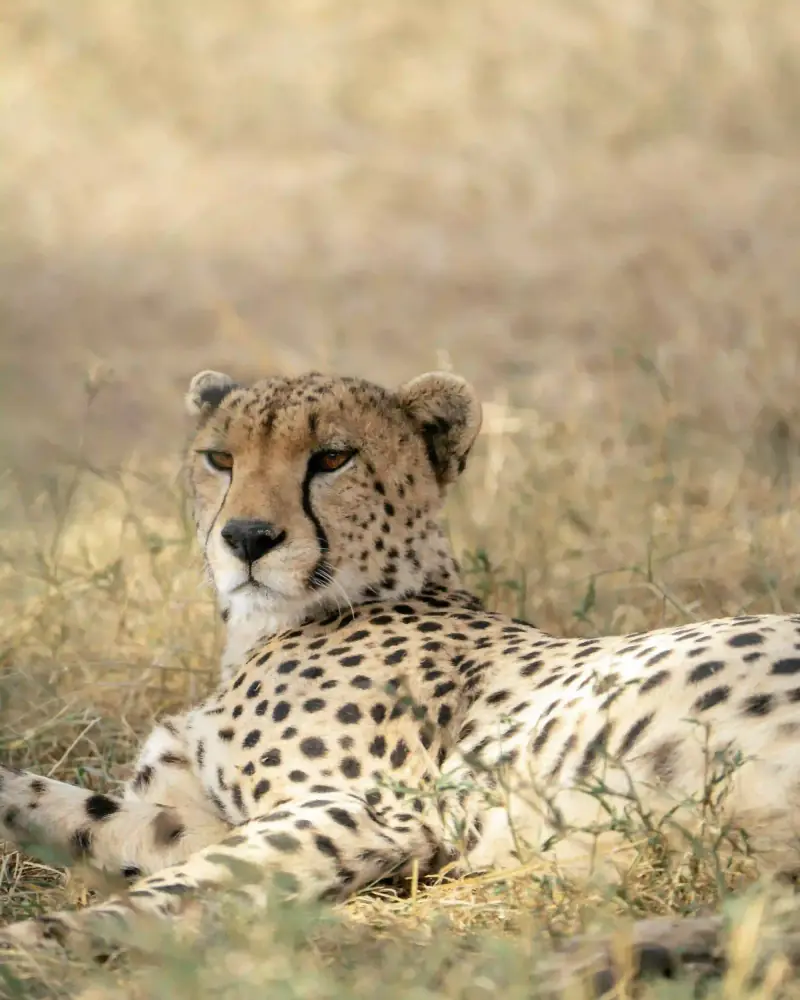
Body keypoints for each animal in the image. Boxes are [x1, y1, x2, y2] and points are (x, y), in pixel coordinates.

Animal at [1, 367, 800, 974]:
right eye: (219, 460)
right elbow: (73, 812)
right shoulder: (205, 819)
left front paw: (31, 947)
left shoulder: (365, 816)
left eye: (332, 459)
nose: (247, 538)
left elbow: (172, 891)